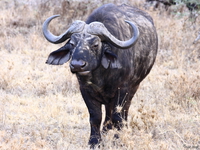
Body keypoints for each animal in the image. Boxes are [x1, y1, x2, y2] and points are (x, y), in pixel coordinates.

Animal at [42, 3, 158, 148]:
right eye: (72, 44)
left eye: (95, 44)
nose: (77, 65)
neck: (101, 76)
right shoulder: (85, 90)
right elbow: (95, 117)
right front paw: (94, 141)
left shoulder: (123, 90)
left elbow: (118, 116)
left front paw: (117, 140)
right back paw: (106, 130)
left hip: (134, 87)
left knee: (124, 111)